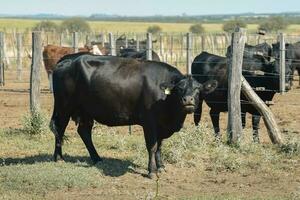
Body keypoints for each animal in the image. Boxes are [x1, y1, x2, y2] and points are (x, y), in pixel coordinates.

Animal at [50, 52, 217, 177]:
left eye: (197, 89)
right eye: (179, 89)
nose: (187, 100)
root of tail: (67, 59)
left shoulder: (162, 125)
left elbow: (160, 146)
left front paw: (161, 166)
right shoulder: (149, 123)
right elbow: (152, 146)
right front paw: (152, 171)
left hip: (86, 111)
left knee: (84, 132)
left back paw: (97, 158)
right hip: (64, 107)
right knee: (60, 128)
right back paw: (59, 158)